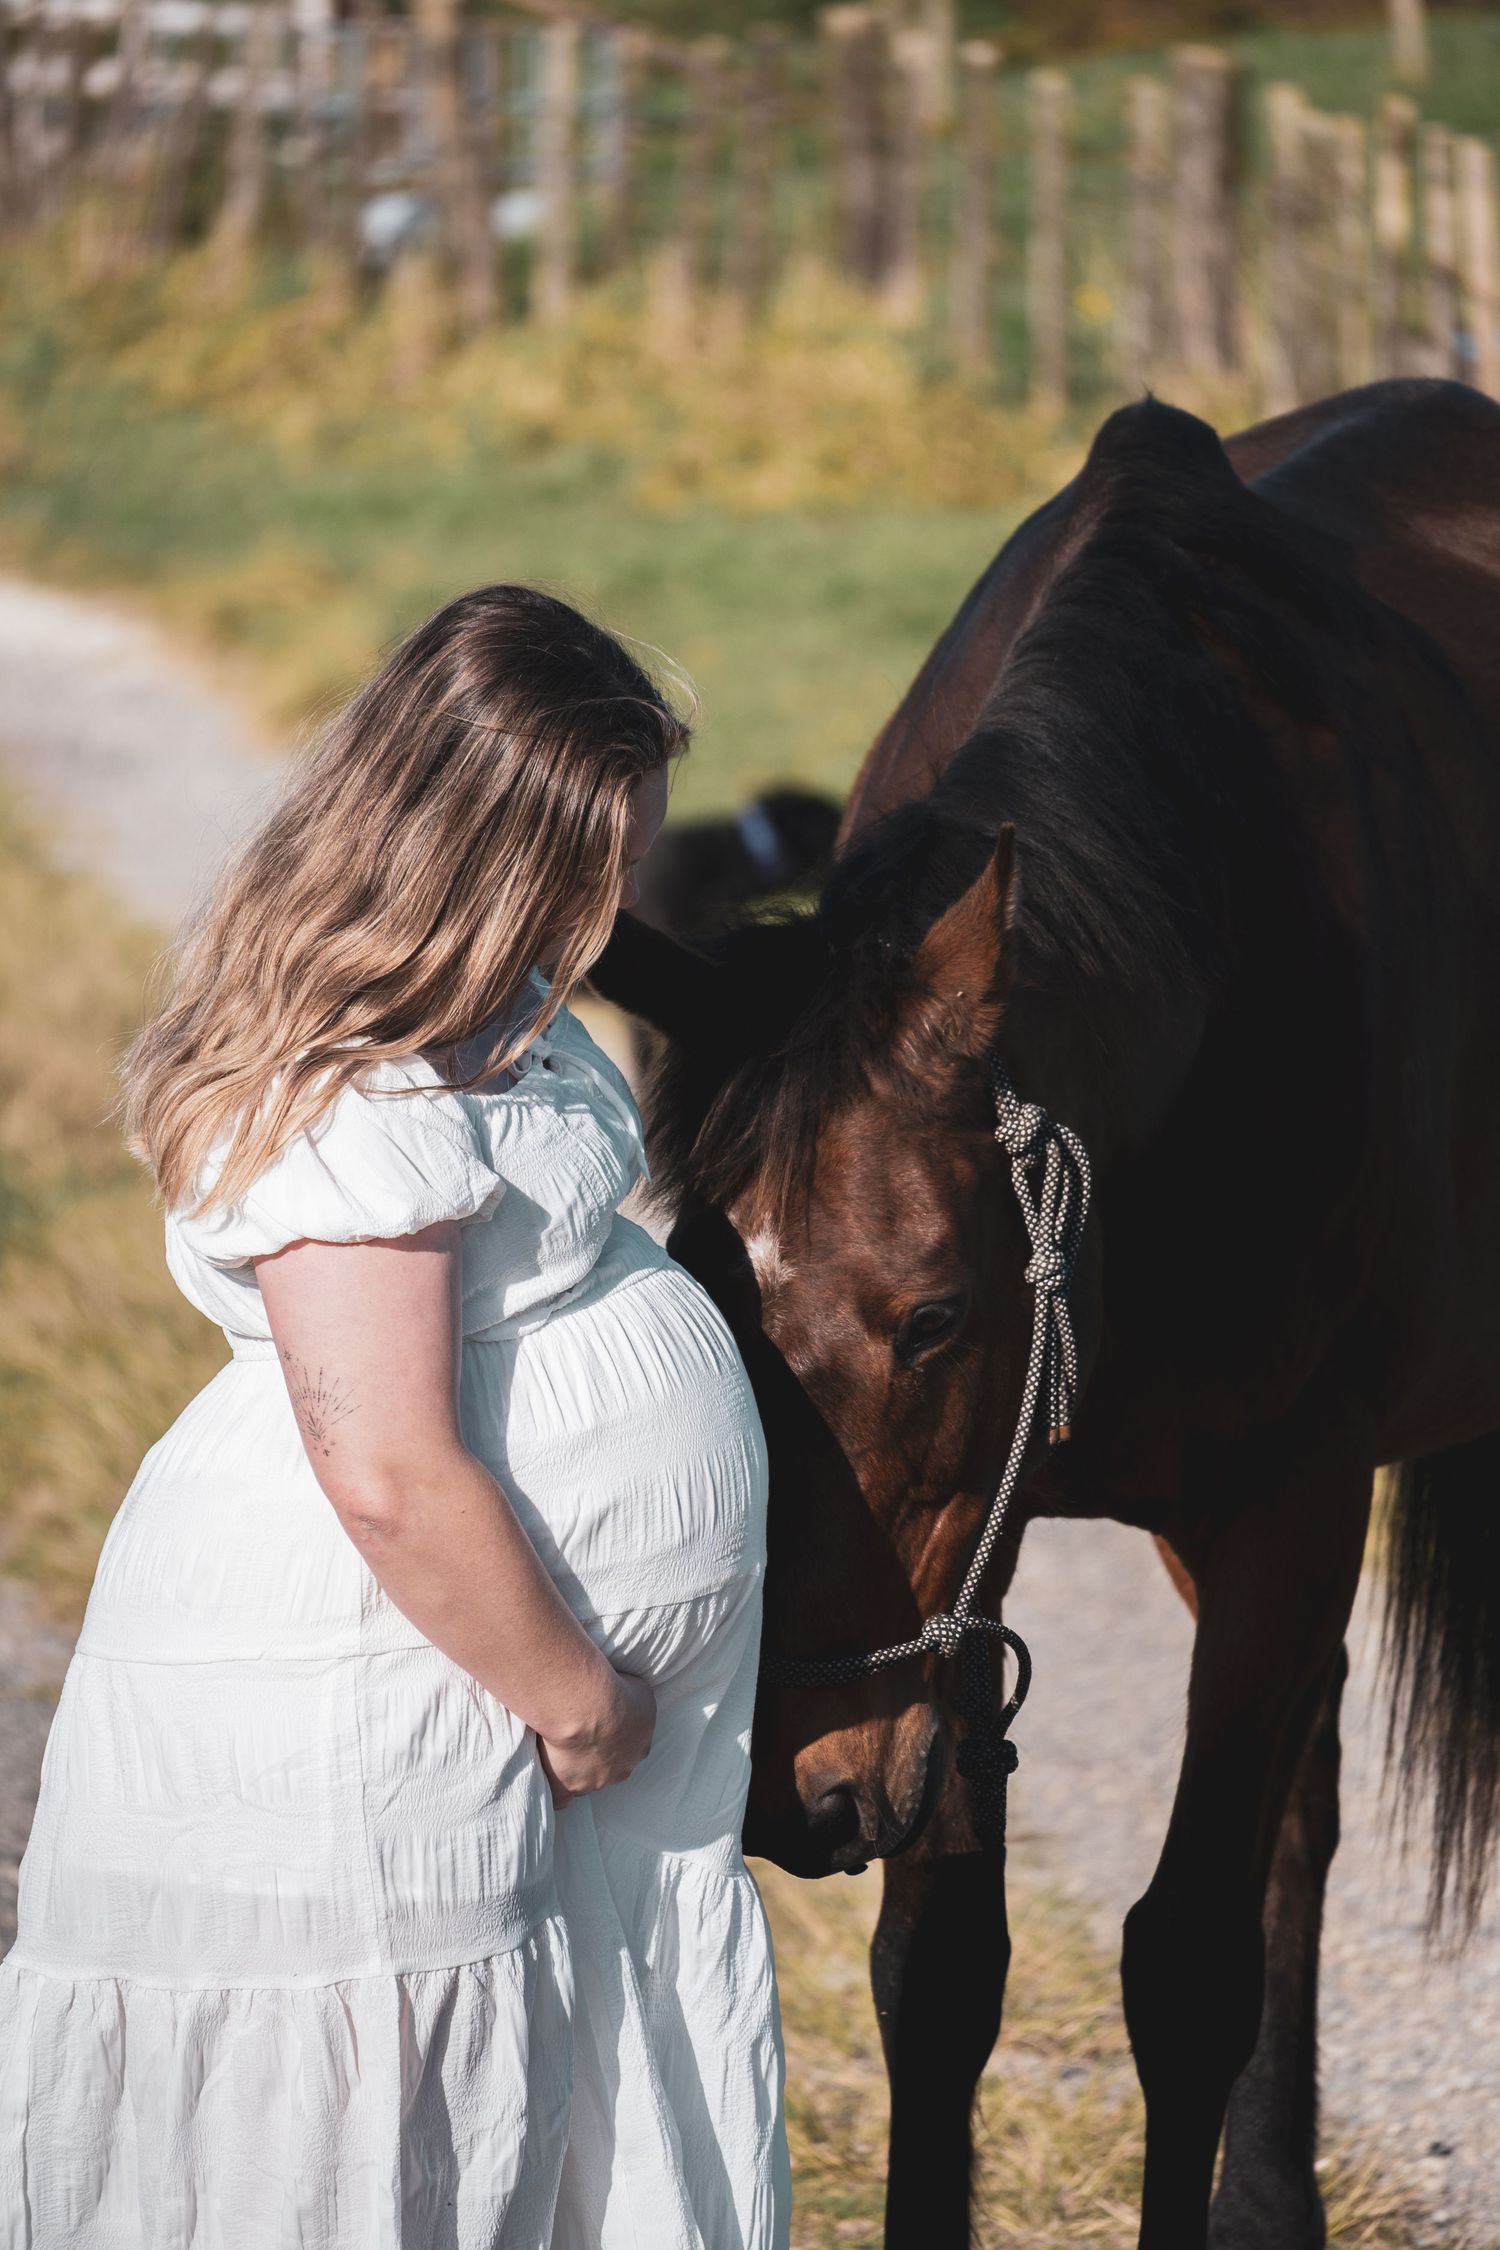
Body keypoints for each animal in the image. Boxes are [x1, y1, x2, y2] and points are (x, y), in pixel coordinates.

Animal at [590, 377, 1500, 2249]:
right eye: (703, 1284)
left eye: (938, 1318)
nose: (799, 1776)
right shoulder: (981, 1553)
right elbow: (943, 1966)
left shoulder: (1291, 1504)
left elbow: (1188, 1963)